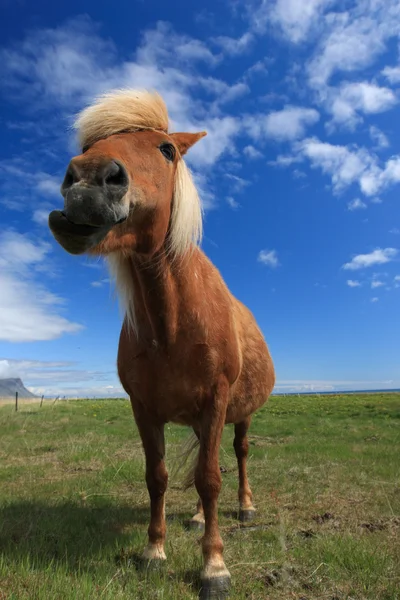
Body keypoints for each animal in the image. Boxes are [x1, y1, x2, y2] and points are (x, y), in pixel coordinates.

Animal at [48, 90, 276, 600]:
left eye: (167, 149)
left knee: (239, 456)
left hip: (240, 414)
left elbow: (210, 480)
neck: (172, 323)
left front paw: (214, 566)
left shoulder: (216, 400)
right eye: (90, 145)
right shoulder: (144, 408)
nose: (88, 181)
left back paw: (246, 507)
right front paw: (154, 551)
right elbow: (160, 477)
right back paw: (196, 520)